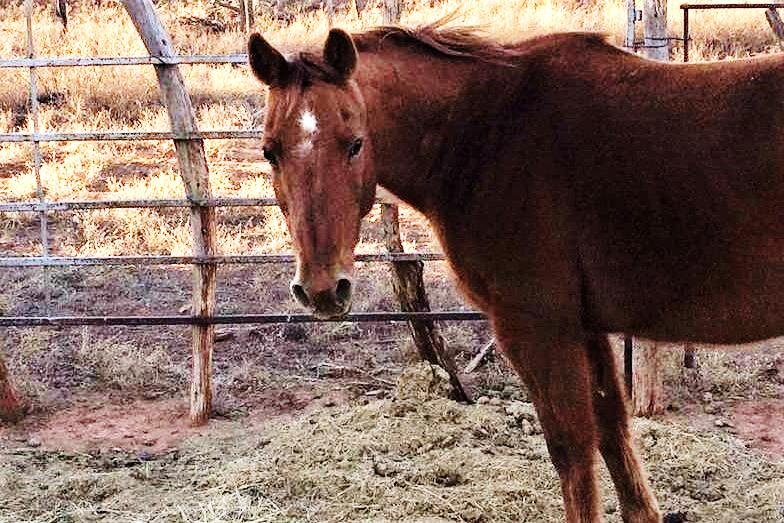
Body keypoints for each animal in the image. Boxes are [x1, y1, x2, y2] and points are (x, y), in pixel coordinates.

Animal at [247, 21, 784, 523]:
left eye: (355, 144)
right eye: (270, 151)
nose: (322, 289)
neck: (486, 135)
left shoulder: (537, 328)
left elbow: (572, 450)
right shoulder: (584, 327)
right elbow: (612, 431)